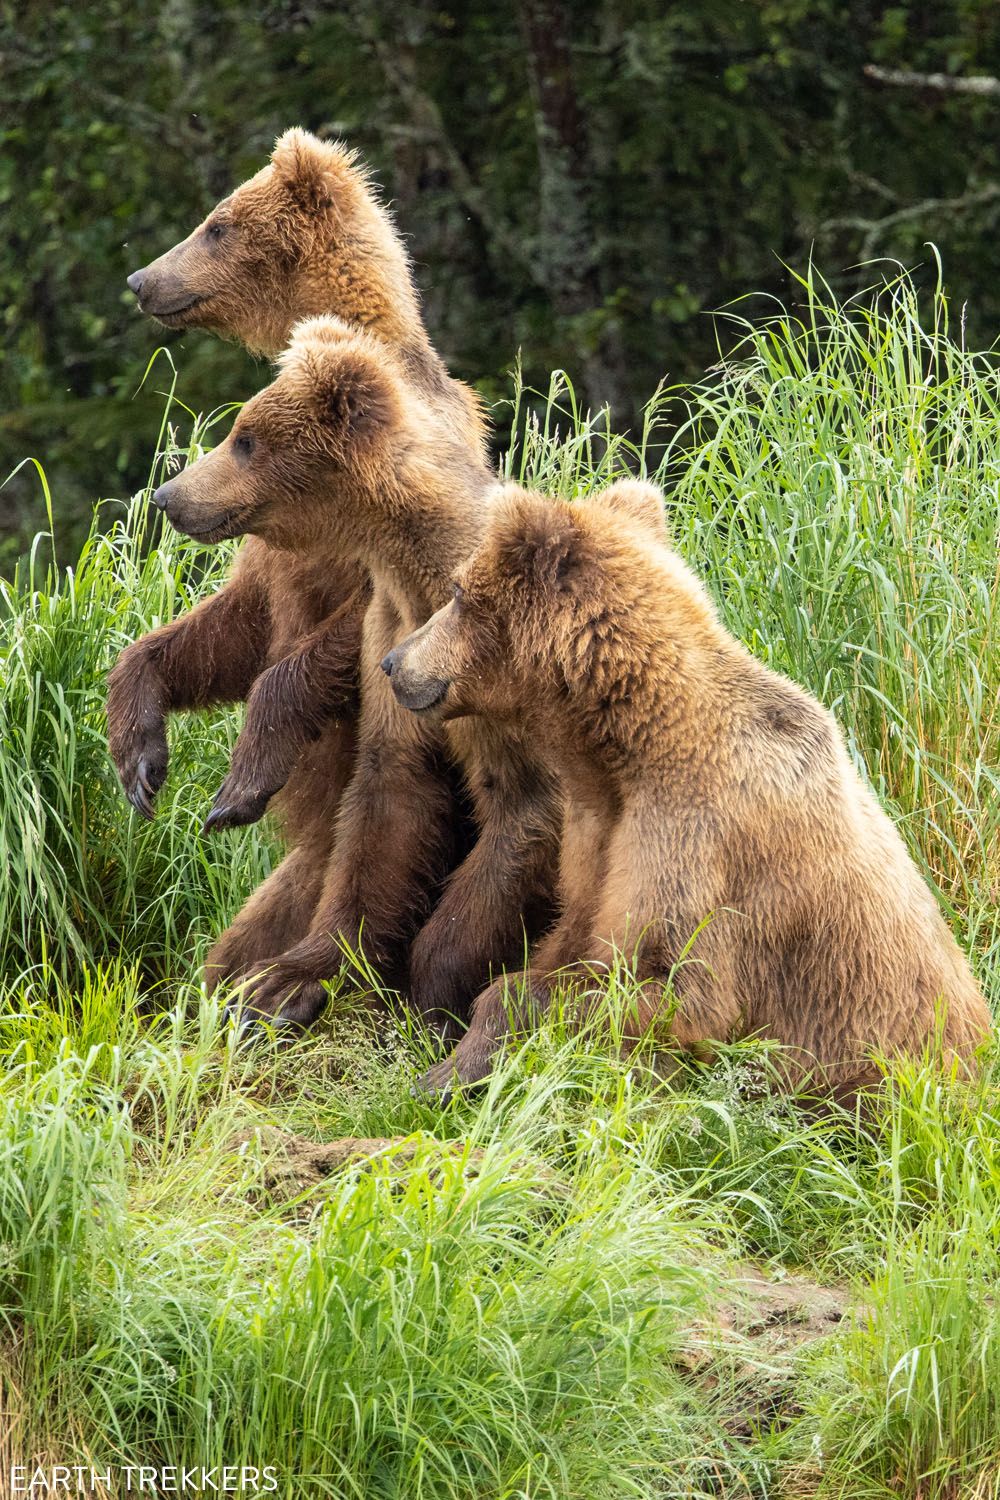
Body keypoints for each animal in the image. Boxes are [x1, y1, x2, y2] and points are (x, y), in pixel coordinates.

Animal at [386, 483, 995, 1104]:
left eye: (457, 592)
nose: (393, 661)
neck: (629, 746)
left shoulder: (700, 834)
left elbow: (678, 987)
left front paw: (452, 1063)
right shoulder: (595, 831)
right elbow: (573, 930)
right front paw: (448, 1057)